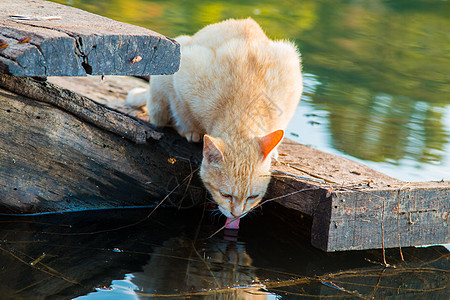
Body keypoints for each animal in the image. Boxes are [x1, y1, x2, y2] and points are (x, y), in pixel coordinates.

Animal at [126, 17, 302, 223]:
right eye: (225, 194)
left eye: (252, 197)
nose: (237, 214)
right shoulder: (183, 71)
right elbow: (181, 111)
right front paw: (189, 130)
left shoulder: (290, 77)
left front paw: (273, 152)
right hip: (161, 95)